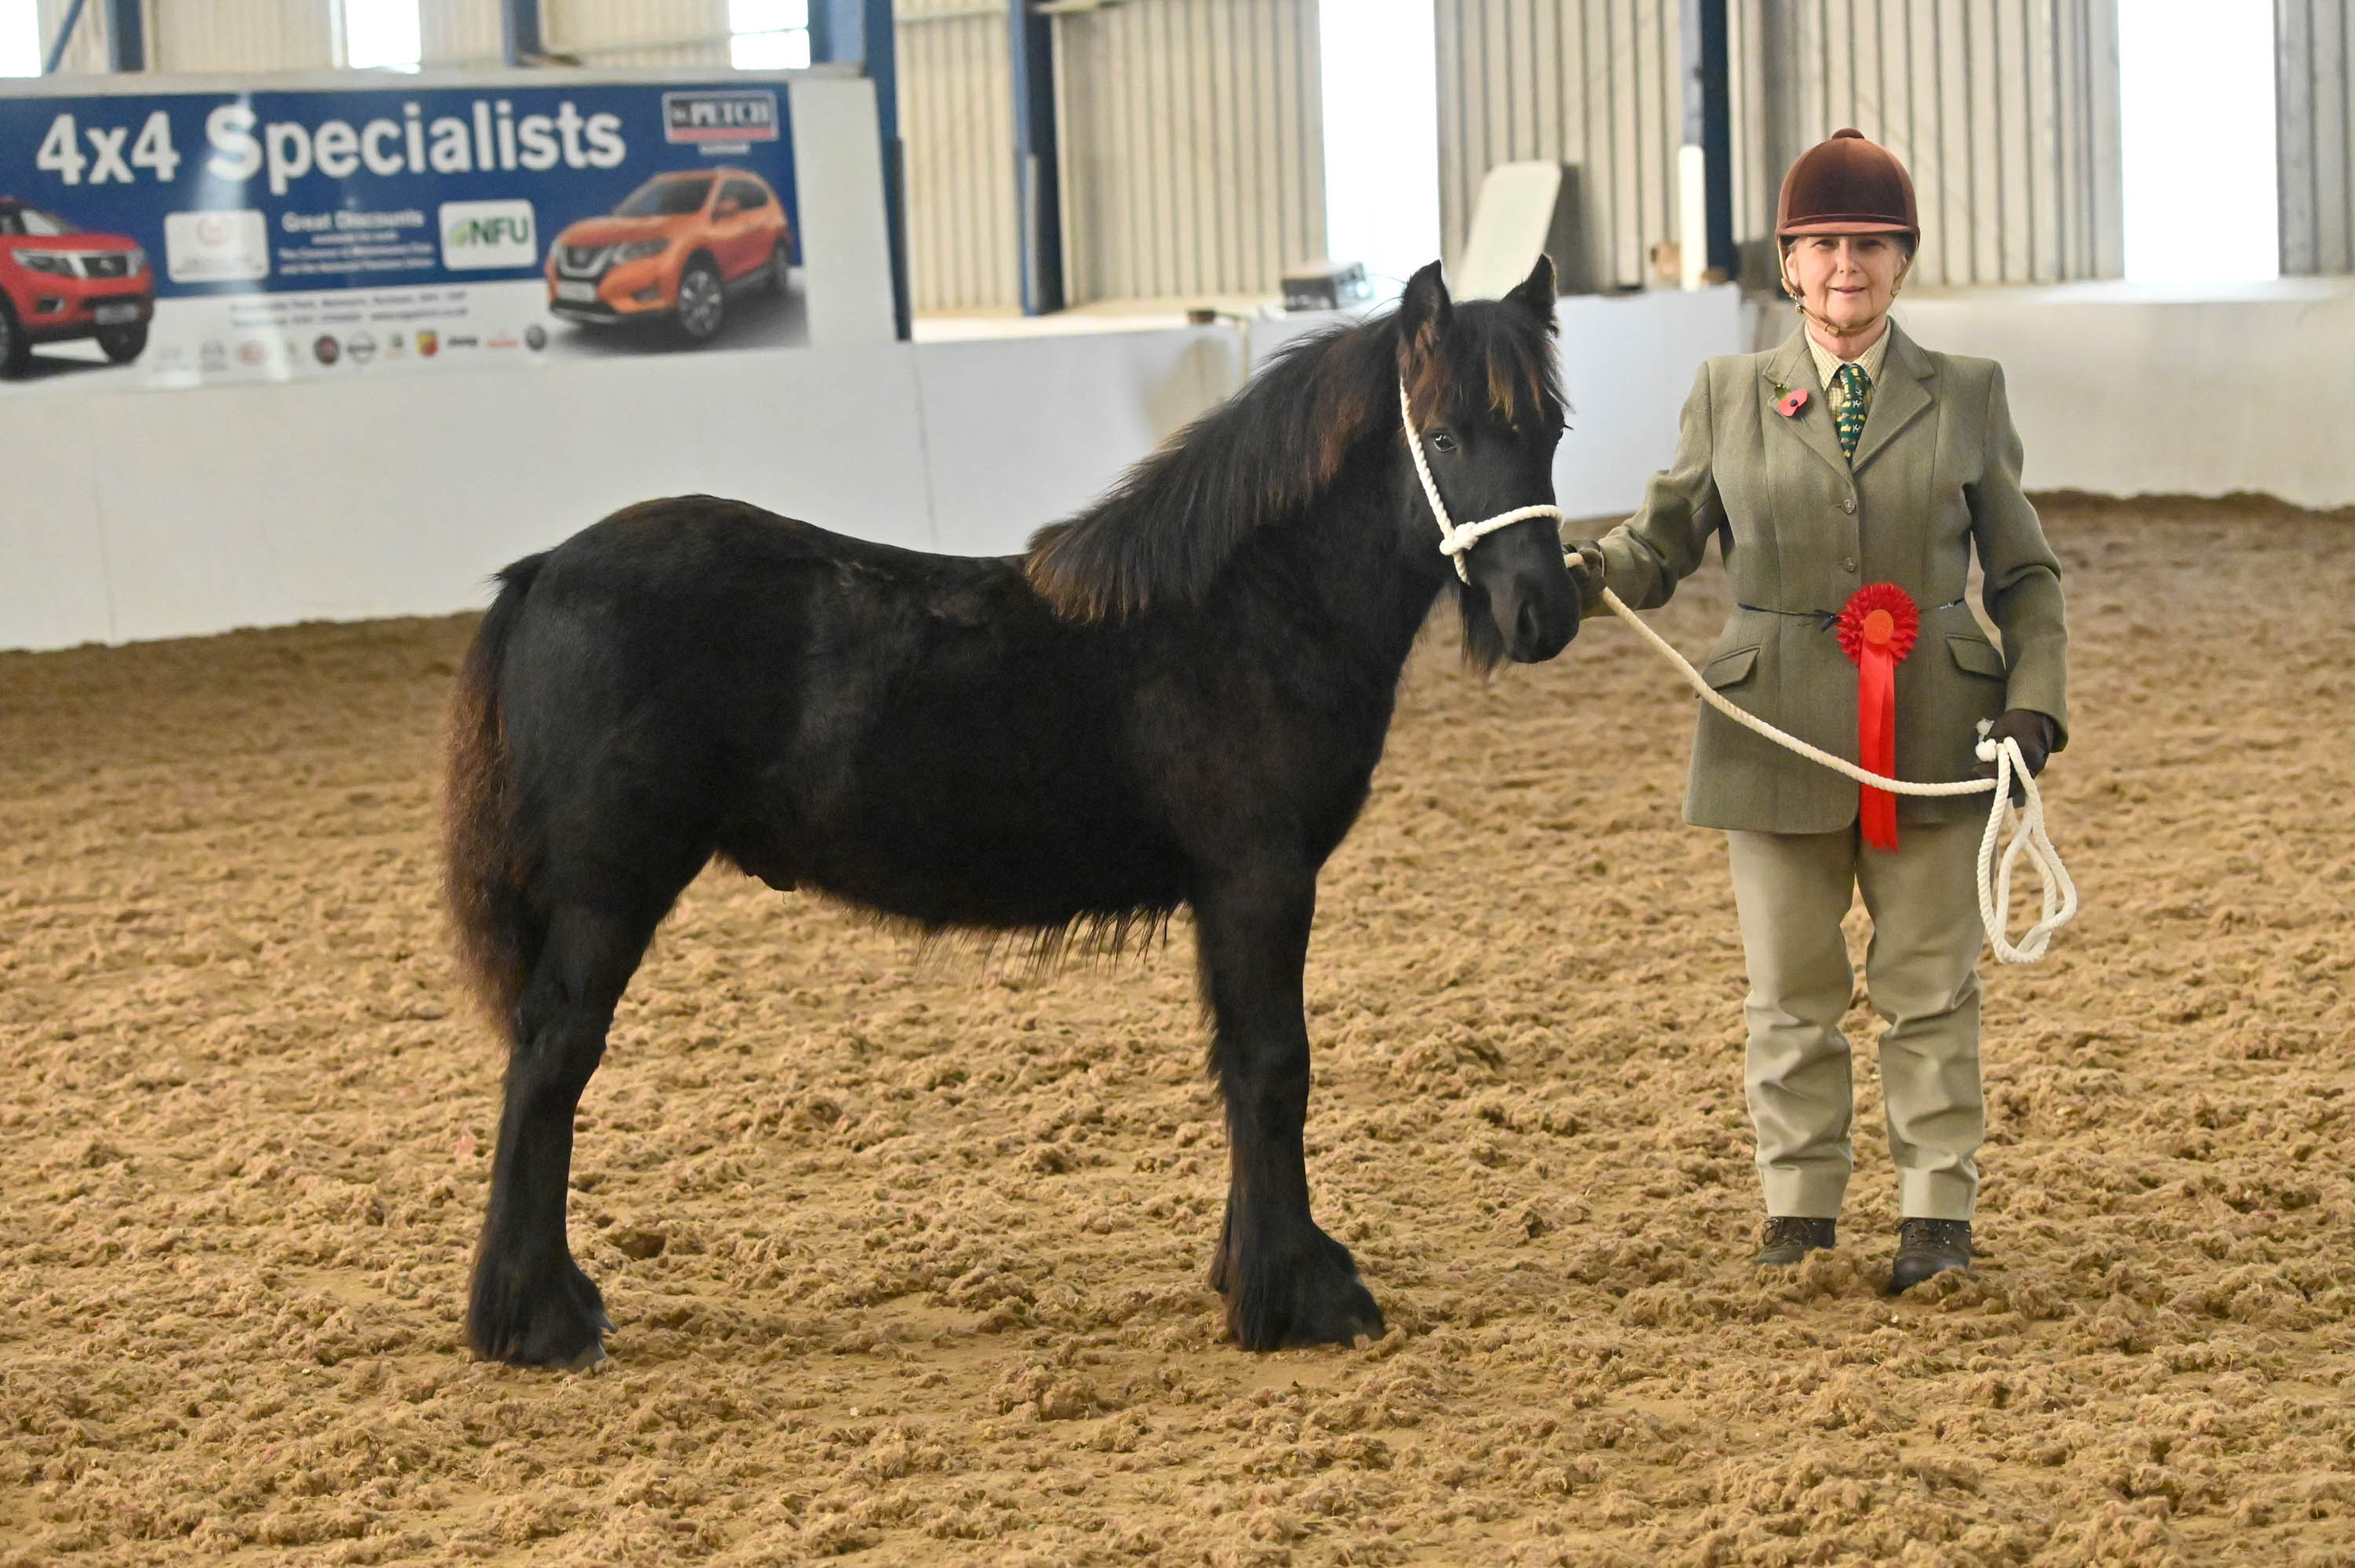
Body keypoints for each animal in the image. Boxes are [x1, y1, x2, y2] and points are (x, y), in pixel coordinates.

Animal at [445, 253, 1582, 1356]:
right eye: (1446, 432)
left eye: (1551, 431)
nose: (1545, 615)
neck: (1250, 609)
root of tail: (544, 573)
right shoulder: (1259, 880)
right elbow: (1273, 1068)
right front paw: (1302, 1297)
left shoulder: (1228, 896)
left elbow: (1235, 1066)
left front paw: (1249, 1276)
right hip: (608, 894)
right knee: (551, 1060)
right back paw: (541, 1321)